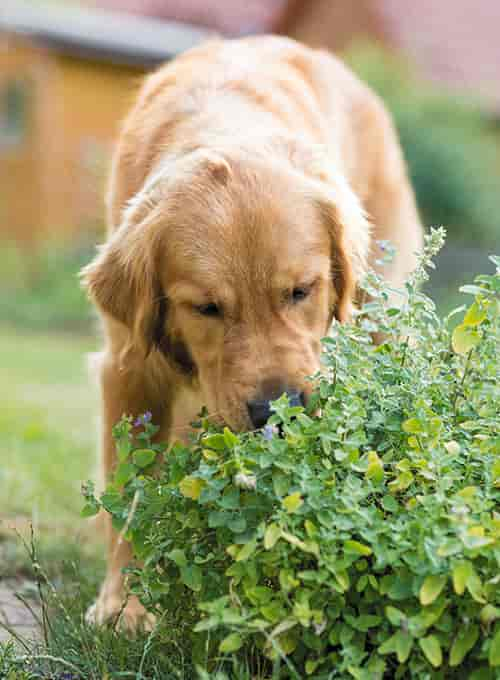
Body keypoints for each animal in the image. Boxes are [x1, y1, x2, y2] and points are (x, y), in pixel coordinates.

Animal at [81, 33, 422, 628]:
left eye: (302, 290)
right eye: (207, 307)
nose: (277, 412)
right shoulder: (129, 364)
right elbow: (130, 493)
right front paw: (126, 606)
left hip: (384, 314)